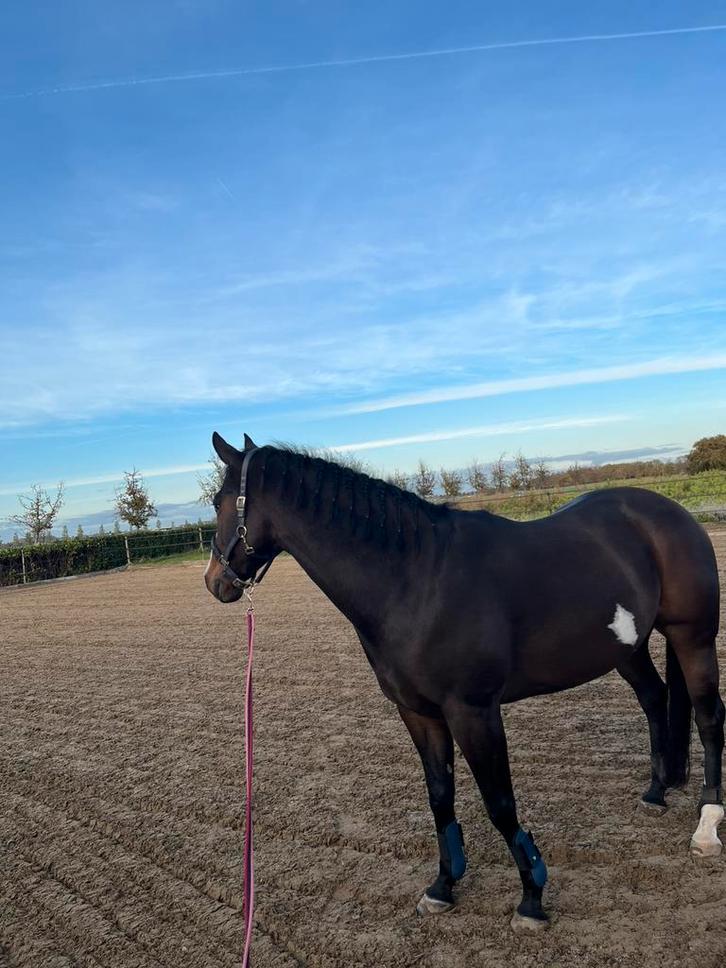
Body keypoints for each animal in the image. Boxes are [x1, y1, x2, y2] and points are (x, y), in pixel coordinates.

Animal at [204, 432, 724, 932]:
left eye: (216, 501)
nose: (215, 583)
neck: (415, 581)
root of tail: (671, 513)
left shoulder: (473, 711)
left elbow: (499, 802)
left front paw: (532, 896)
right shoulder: (418, 712)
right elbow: (440, 795)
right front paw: (443, 886)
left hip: (692, 638)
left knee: (707, 717)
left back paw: (706, 825)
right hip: (626, 649)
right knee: (656, 700)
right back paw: (656, 793)